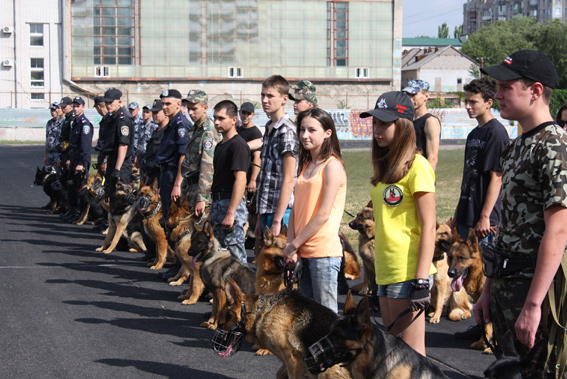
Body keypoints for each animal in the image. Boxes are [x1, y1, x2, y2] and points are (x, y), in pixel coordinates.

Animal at [217, 280, 350, 379]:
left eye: (221, 323)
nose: (217, 346)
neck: (259, 311)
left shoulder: (291, 357)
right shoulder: (288, 360)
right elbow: (279, 373)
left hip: (326, 368)